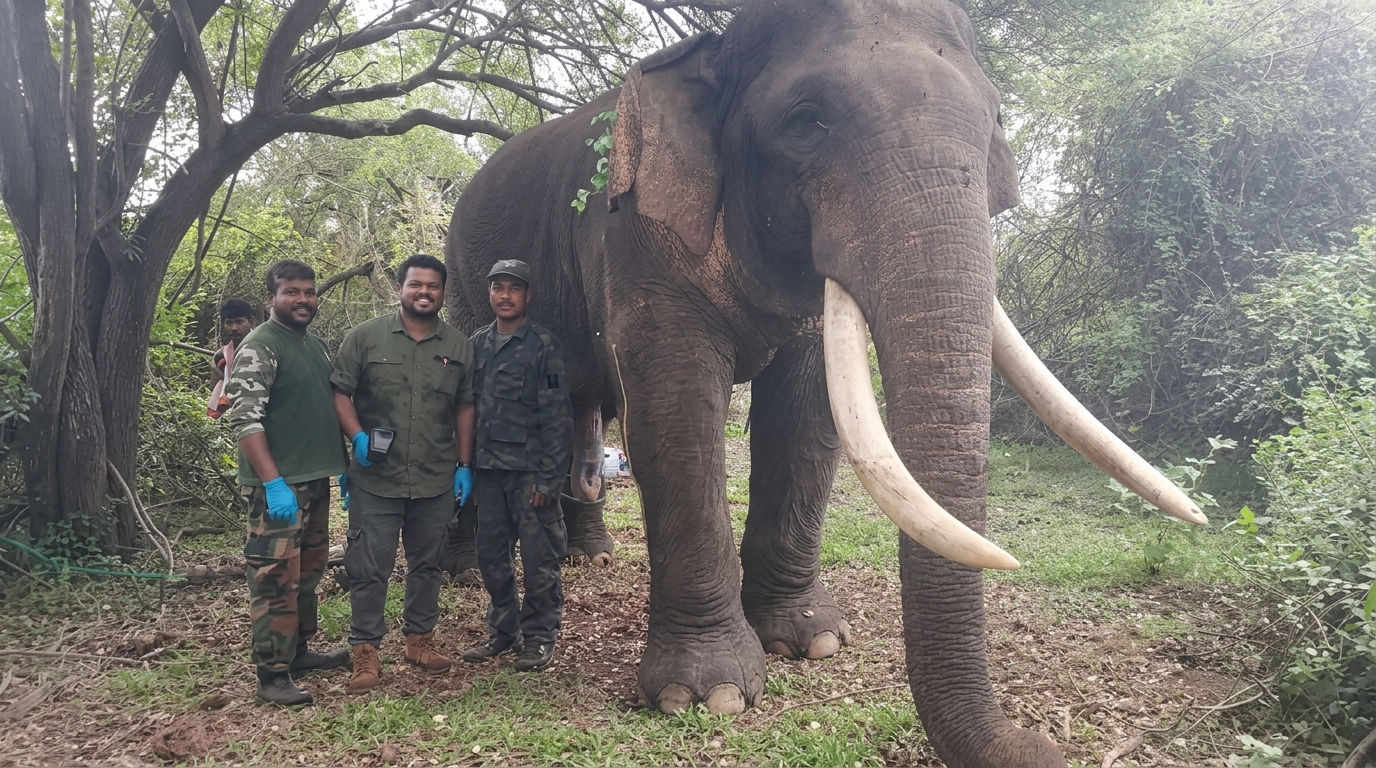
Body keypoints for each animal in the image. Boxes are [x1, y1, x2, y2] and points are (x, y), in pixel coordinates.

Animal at [443, 0, 1205, 764]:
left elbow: (808, 412)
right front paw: (707, 694)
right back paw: (465, 573)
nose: (1042, 744)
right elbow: (675, 406)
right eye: (806, 123)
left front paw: (812, 642)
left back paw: (591, 558)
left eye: (994, 120)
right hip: (468, 284)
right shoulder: (635, 237)